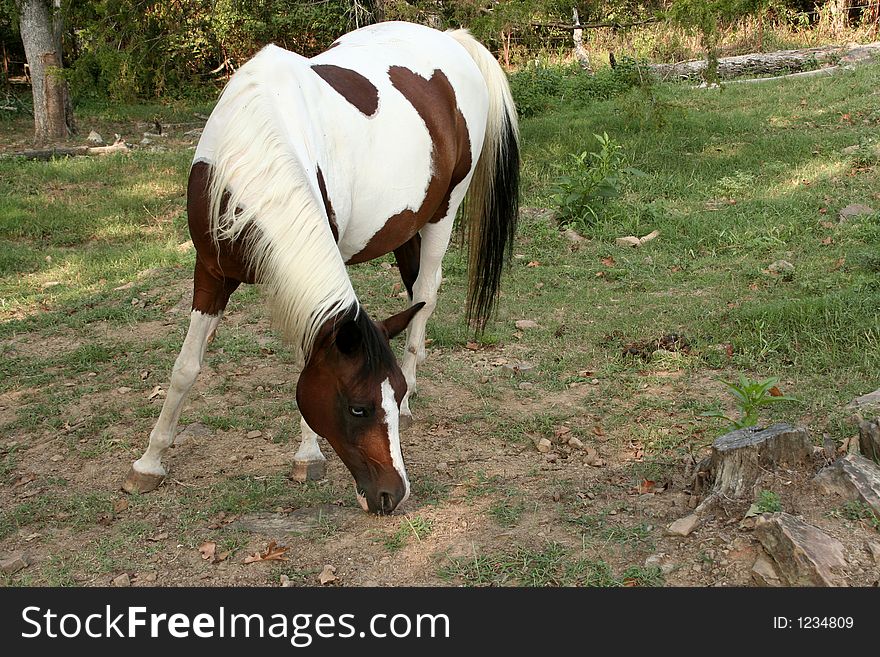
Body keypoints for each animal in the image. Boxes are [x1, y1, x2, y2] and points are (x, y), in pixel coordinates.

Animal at [120, 19, 520, 512]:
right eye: (357, 407)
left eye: (386, 396)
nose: (393, 495)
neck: (251, 149)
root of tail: (451, 37)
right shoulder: (211, 272)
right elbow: (185, 368)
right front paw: (149, 463)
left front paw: (308, 455)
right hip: (405, 227)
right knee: (416, 291)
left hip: (443, 215)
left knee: (427, 292)